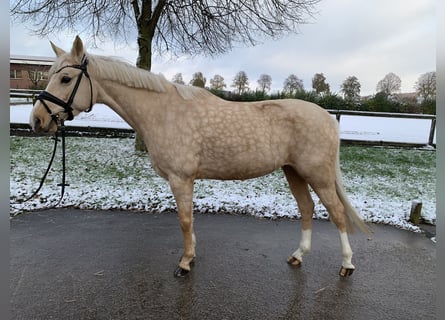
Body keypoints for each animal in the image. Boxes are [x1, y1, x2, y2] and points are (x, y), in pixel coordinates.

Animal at [27, 35, 368, 278]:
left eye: (66, 79)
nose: (37, 121)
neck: (163, 112)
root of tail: (327, 117)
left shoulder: (181, 179)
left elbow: (184, 220)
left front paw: (185, 263)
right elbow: (188, 220)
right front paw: (191, 258)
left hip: (317, 174)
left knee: (336, 213)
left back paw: (347, 264)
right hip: (293, 171)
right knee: (308, 208)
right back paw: (298, 256)